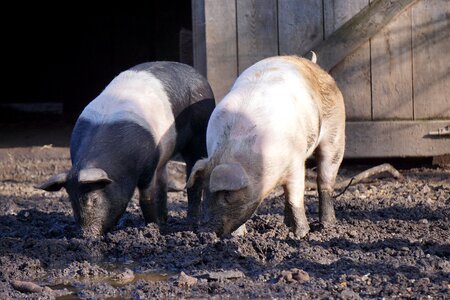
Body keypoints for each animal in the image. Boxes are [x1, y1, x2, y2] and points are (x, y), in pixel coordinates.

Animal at [37, 61, 215, 237]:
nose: (86, 235)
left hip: (199, 133)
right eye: (71, 200)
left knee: (193, 175)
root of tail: (198, 74)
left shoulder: (149, 163)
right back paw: (165, 220)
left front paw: (152, 229)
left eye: (94, 199)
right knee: (163, 179)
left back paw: (190, 223)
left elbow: (146, 198)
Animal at [186, 55, 344, 238]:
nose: (204, 231)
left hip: (336, 135)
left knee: (325, 181)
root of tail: (312, 64)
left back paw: (327, 226)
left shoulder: (296, 162)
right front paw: (238, 236)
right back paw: (287, 224)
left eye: (227, 194)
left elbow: (295, 198)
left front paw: (301, 234)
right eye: (205, 190)